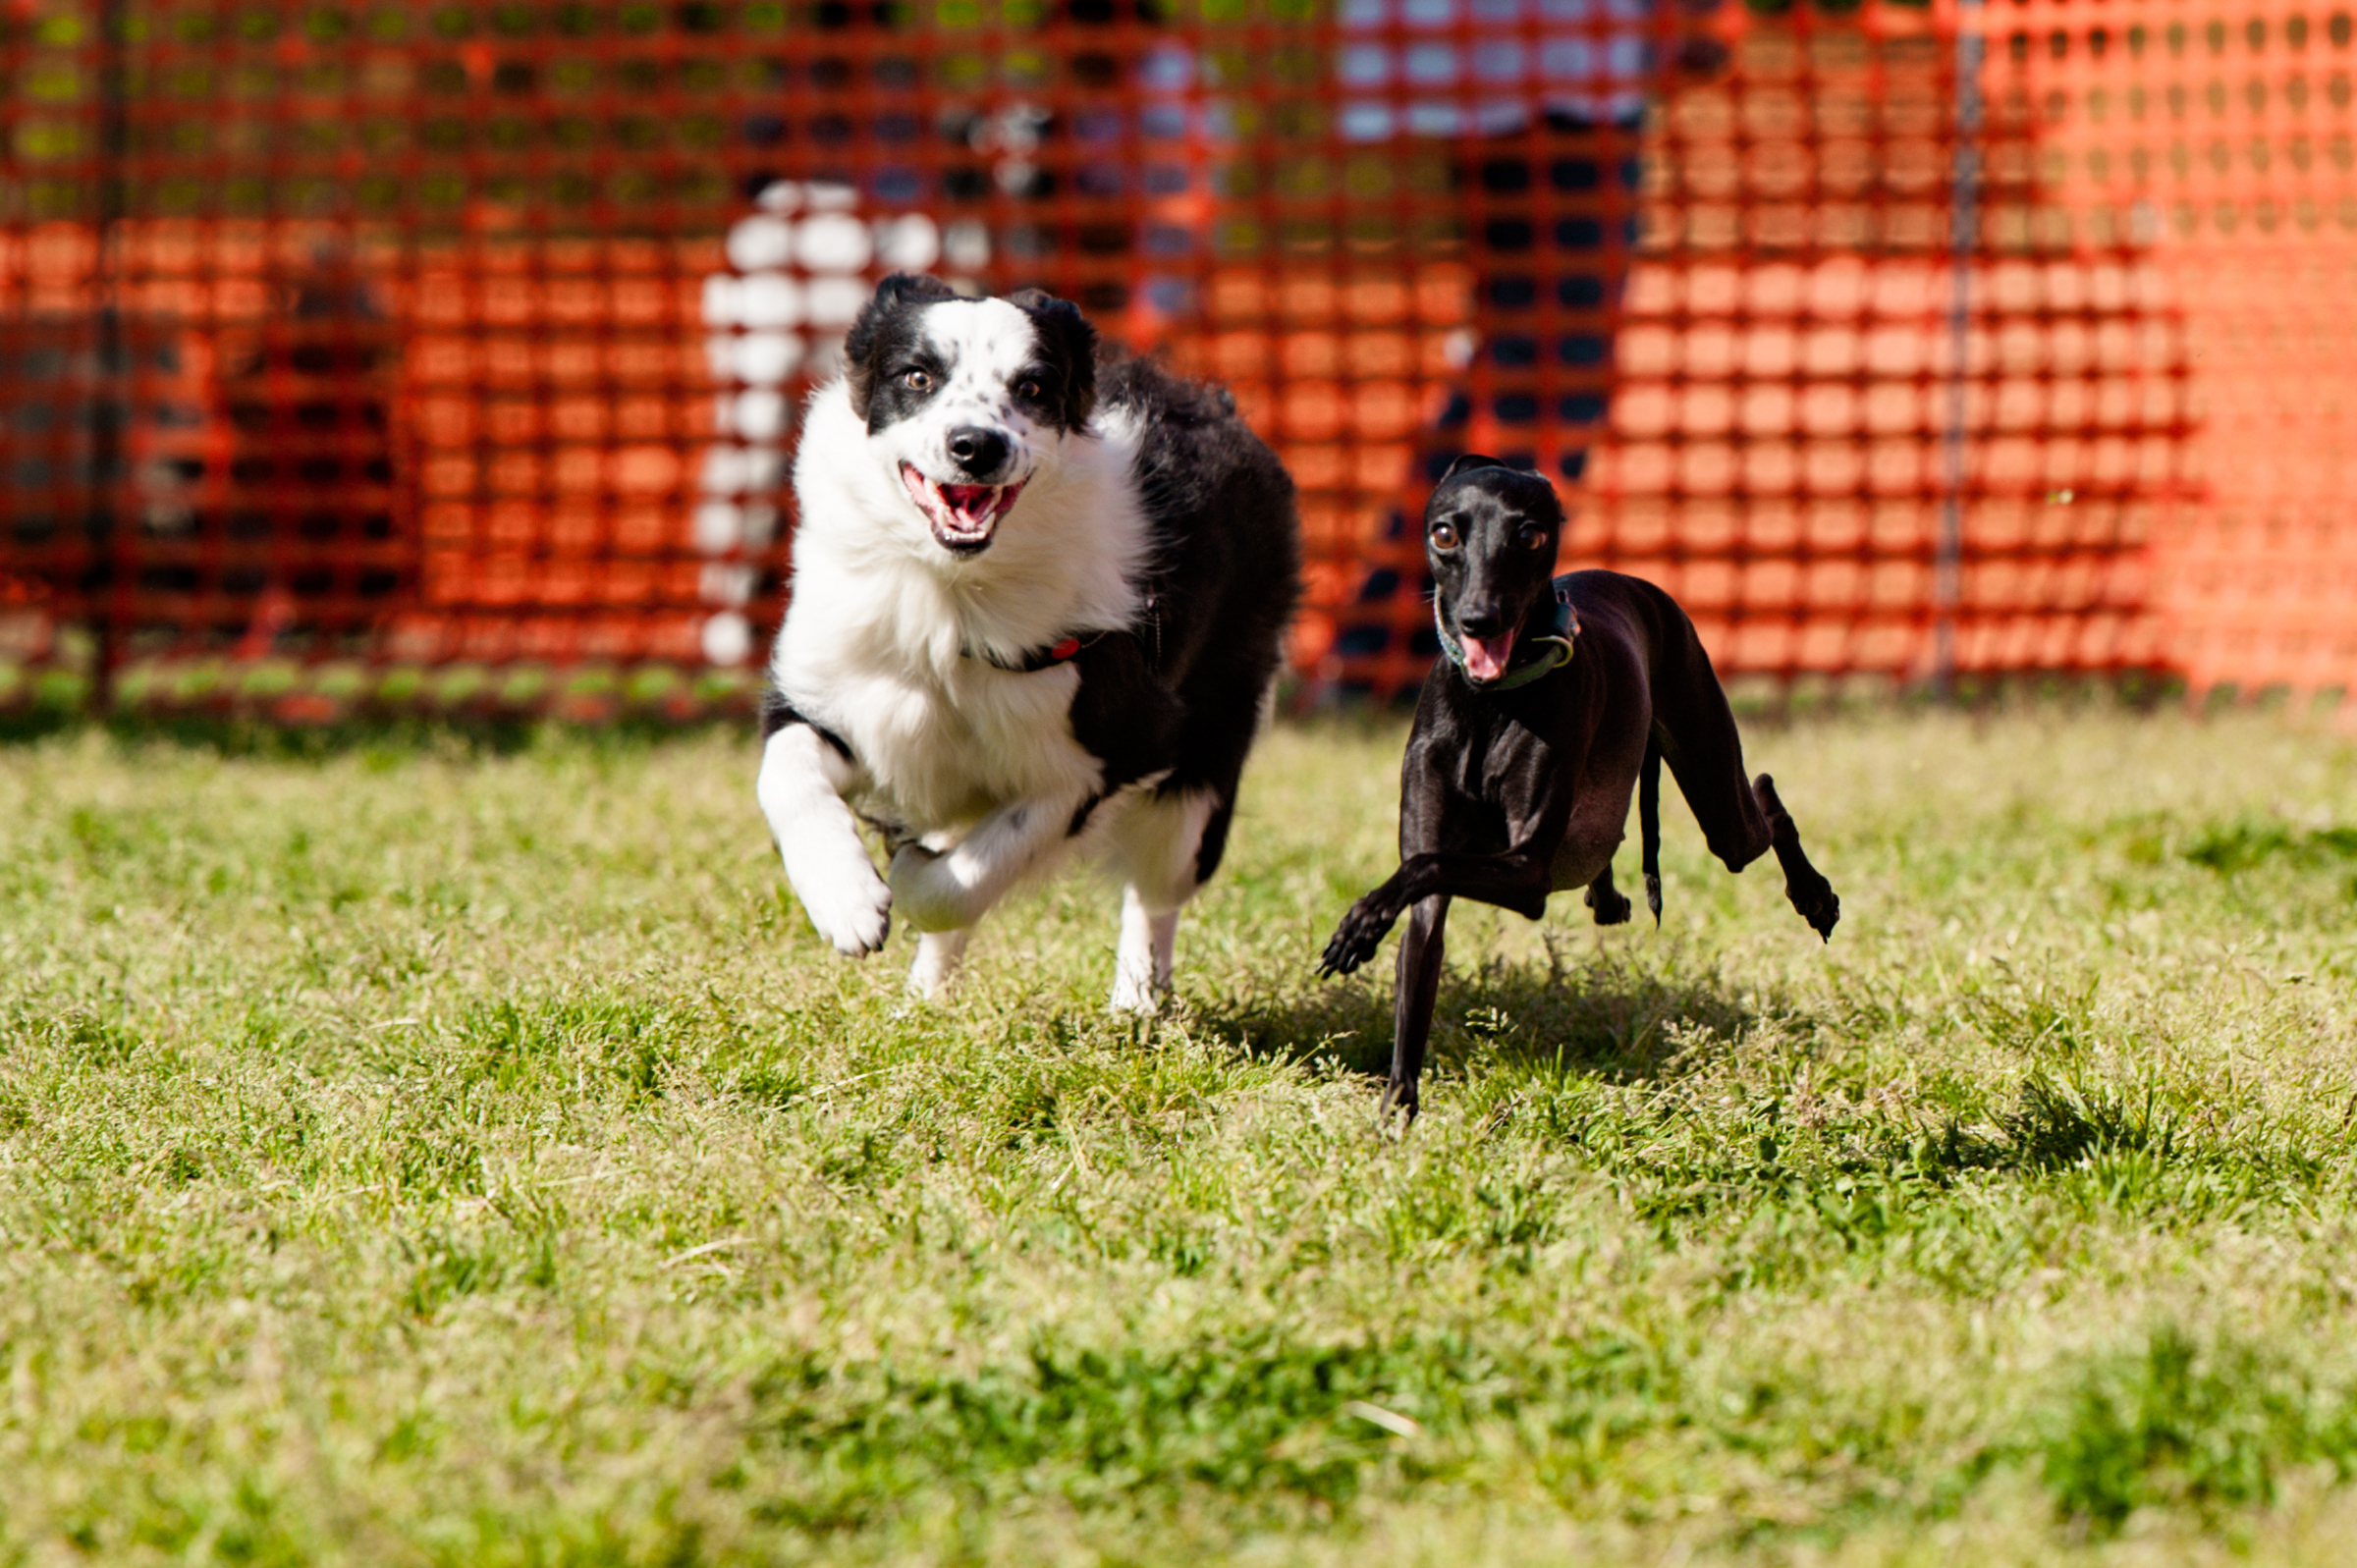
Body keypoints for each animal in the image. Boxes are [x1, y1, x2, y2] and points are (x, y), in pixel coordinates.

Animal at [757, 274, 1300, 1007]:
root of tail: (1216, 403)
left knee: (1155, 891)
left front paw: (906, 875)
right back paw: (925, 1000)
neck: (953, 592)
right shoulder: (837, 691)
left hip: (1207, 753)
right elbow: (785, 774)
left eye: (1034, 387)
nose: (975, 445)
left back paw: (1136, 1003)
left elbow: (965, 878)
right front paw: (847, 903)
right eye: (918, 375)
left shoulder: (1121, 742)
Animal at [1318, 456, 1839, 1116]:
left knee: (1765, 802)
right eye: (1443, 533)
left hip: (1719, 793)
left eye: (1529, 534)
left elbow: (1426, 867)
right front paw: (1395, 1111)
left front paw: (1361, 921)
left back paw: (1814, 895)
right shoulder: (1438, 865)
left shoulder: (1526, 870)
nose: (1479, 620)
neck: (1492, 703)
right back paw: (1608, 892)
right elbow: (1422, 916)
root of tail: (1631, 582)